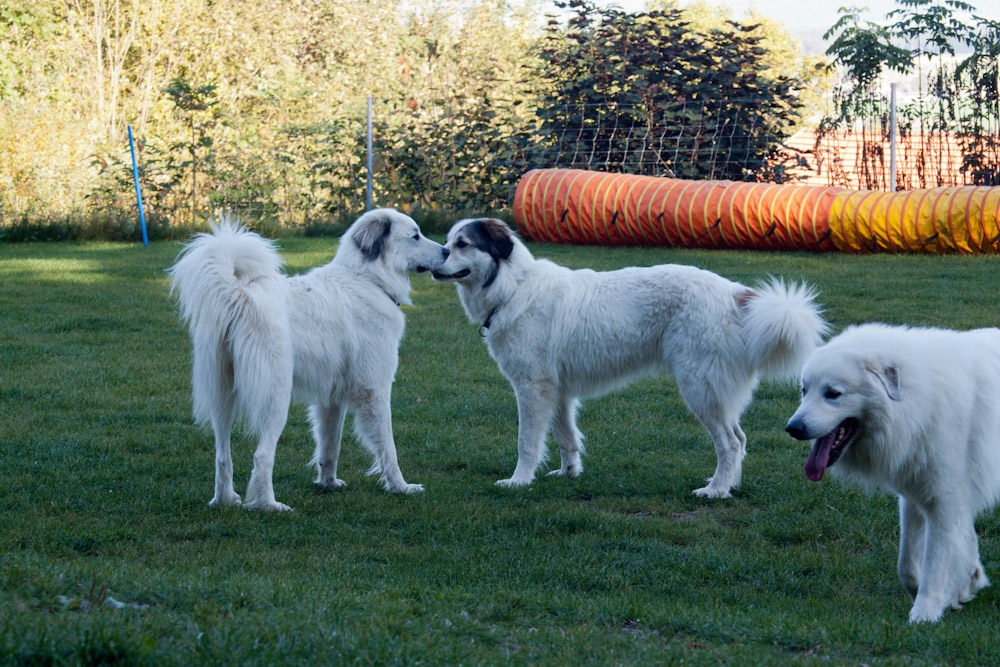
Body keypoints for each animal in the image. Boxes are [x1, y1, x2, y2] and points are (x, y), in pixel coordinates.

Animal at [170, 209, 448, 512]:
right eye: (415, 235)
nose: (447, 251)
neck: (367, 279)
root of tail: (239, 295)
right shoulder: (374, 389)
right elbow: (388, 447)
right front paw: (401, 487)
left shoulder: (331, 398)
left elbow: (330, 445)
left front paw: (328, 484)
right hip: (276, 397)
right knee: (262, 455)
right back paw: (269, 506)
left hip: (223, 396)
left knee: (222, 455)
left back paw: (225, 500)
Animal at [430, 219, 828, 496]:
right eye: (448, 242)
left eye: (462, 244)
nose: (439, 256)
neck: (512, 287)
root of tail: (736, 295)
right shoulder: (557, 391)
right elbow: (566, 437)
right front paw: (568, 474)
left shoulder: (532, 388)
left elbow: (527, 442)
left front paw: (518, 481)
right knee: (740, 440)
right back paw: (728, 485)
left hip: (700, 388)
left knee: (730, 443)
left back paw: (714, 492)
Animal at [784, 326, 1000, 624]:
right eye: (805, 390)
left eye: (833, 394)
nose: (793, 428)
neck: (915, 401)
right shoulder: (914, 495)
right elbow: (907, 563)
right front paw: (966, 584)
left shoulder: (944, 500)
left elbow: (936, 560)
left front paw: (924, 613)